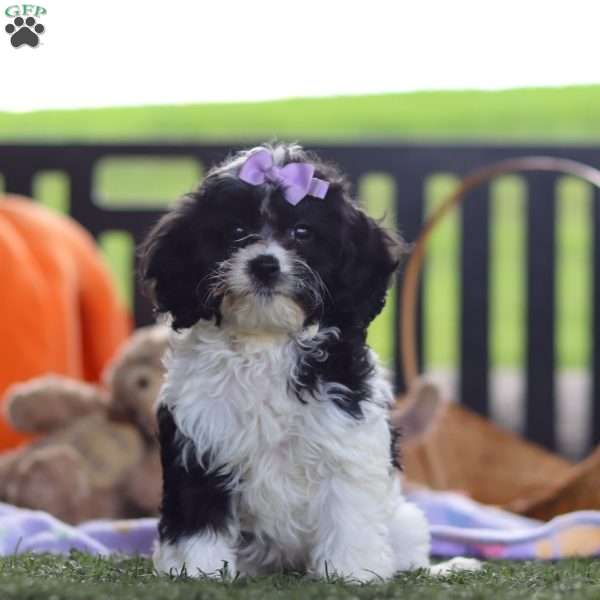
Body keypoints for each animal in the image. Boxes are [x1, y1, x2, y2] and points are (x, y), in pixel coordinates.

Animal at [142, 143, 474, 580]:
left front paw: (352, 572)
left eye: (302, 232)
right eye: (236, 232)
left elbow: (348, 512)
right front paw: (196, 571)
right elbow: (198, 518)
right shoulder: (200, 442)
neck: (266, 342)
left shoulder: (344, 439)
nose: (265, 264)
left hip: (403, 521)